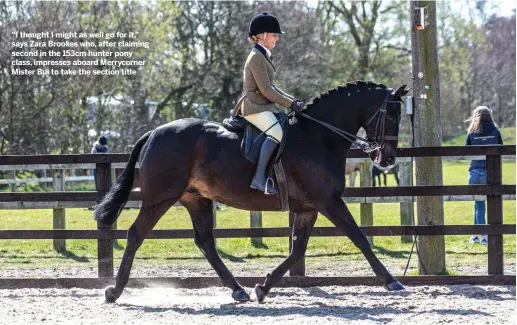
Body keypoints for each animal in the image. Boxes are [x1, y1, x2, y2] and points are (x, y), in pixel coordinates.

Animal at [92, 79, 408, 302]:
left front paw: (263, 287)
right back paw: (114, 291)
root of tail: (154, 133)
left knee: (205, 242)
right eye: (393, 116)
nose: (388, 158)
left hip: (196, 200)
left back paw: (238, 289)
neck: (318, 137)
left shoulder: (308, 208)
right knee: (136, 235)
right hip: (159, 199)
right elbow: (359, 238)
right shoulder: (328, 202)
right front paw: (392, 280)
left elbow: (298, 250)